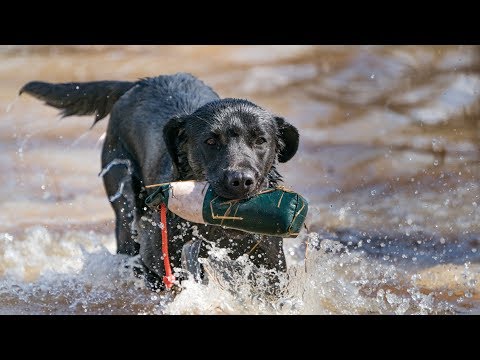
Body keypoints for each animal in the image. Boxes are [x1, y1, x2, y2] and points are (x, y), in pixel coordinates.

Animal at [20, 72, 298, 290]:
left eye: (260, 140)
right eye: (210, 141)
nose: (240, 180)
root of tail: (139, 83)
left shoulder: (271, 266)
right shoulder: (159, 263)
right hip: (123, 202)